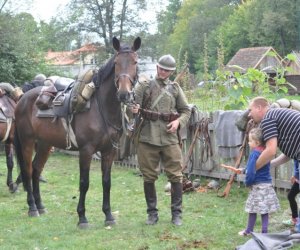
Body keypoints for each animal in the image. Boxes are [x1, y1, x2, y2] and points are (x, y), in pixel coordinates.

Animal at [13, 36, 141, 228]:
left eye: (135, 62)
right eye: (116, 63)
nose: (124, 94)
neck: (100, 108)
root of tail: (22, 99)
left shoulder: (109, 151)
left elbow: (106, 182)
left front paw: (108, 215)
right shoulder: (86, 151)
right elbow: (84, 183)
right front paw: (82, 217)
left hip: (45, 144)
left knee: (36, 169)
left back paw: (40, 205)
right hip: (27, 142)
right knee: (27, 170)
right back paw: (32, 208)